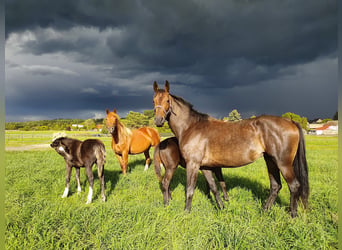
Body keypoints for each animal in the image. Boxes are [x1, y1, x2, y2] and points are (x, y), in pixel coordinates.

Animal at [154, 80, 308, 217]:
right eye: (154, 100)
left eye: (167, 100)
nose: (158, 121)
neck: (191, 127)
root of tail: (291, 121)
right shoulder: (205, 167)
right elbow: (214, 188)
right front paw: (222, 208)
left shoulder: (193, 164)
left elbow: (190, 190)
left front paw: (186, 213)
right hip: (270, 161)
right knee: (276, 186)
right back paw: (264, 211)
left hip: (283, 163)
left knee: (294, 186)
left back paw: (293, 215)